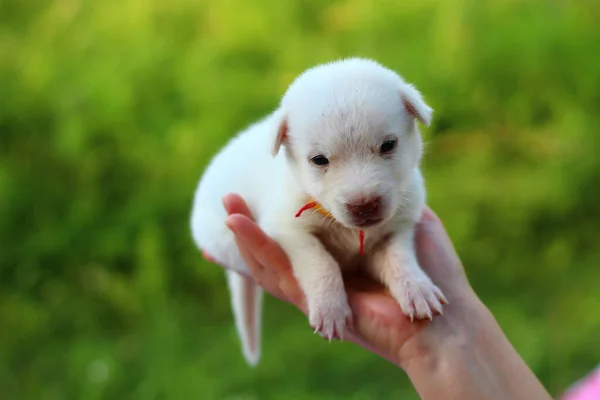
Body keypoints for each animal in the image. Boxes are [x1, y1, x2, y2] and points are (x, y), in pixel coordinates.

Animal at [190, 57, 448, 368]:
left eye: (388, 145)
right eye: (319, 160)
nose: (365, 205)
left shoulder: (397, 228)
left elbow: (399, 259)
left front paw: (417, 289)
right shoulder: (289, 230)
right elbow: (321, 263)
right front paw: (330, 308)